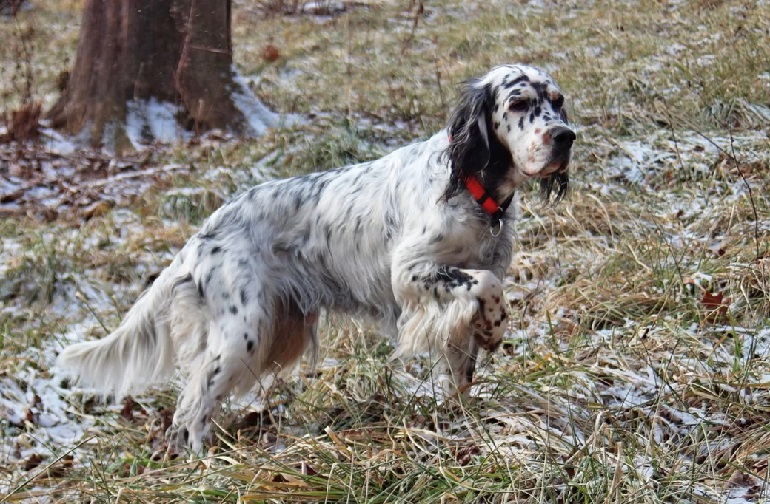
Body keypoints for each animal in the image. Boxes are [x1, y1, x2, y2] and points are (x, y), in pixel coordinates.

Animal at [57, 63, 572, 448]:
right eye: (519, 104)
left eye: (558, 100)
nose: (565, 137)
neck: (472, 187)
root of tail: (202, 233)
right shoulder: (412, 272)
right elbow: (487, 285)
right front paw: (495, 329)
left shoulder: (451, 303)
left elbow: (462, 367)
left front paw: (464, 420)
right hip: (243, 333)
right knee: (191, 405)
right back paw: (202, 463)